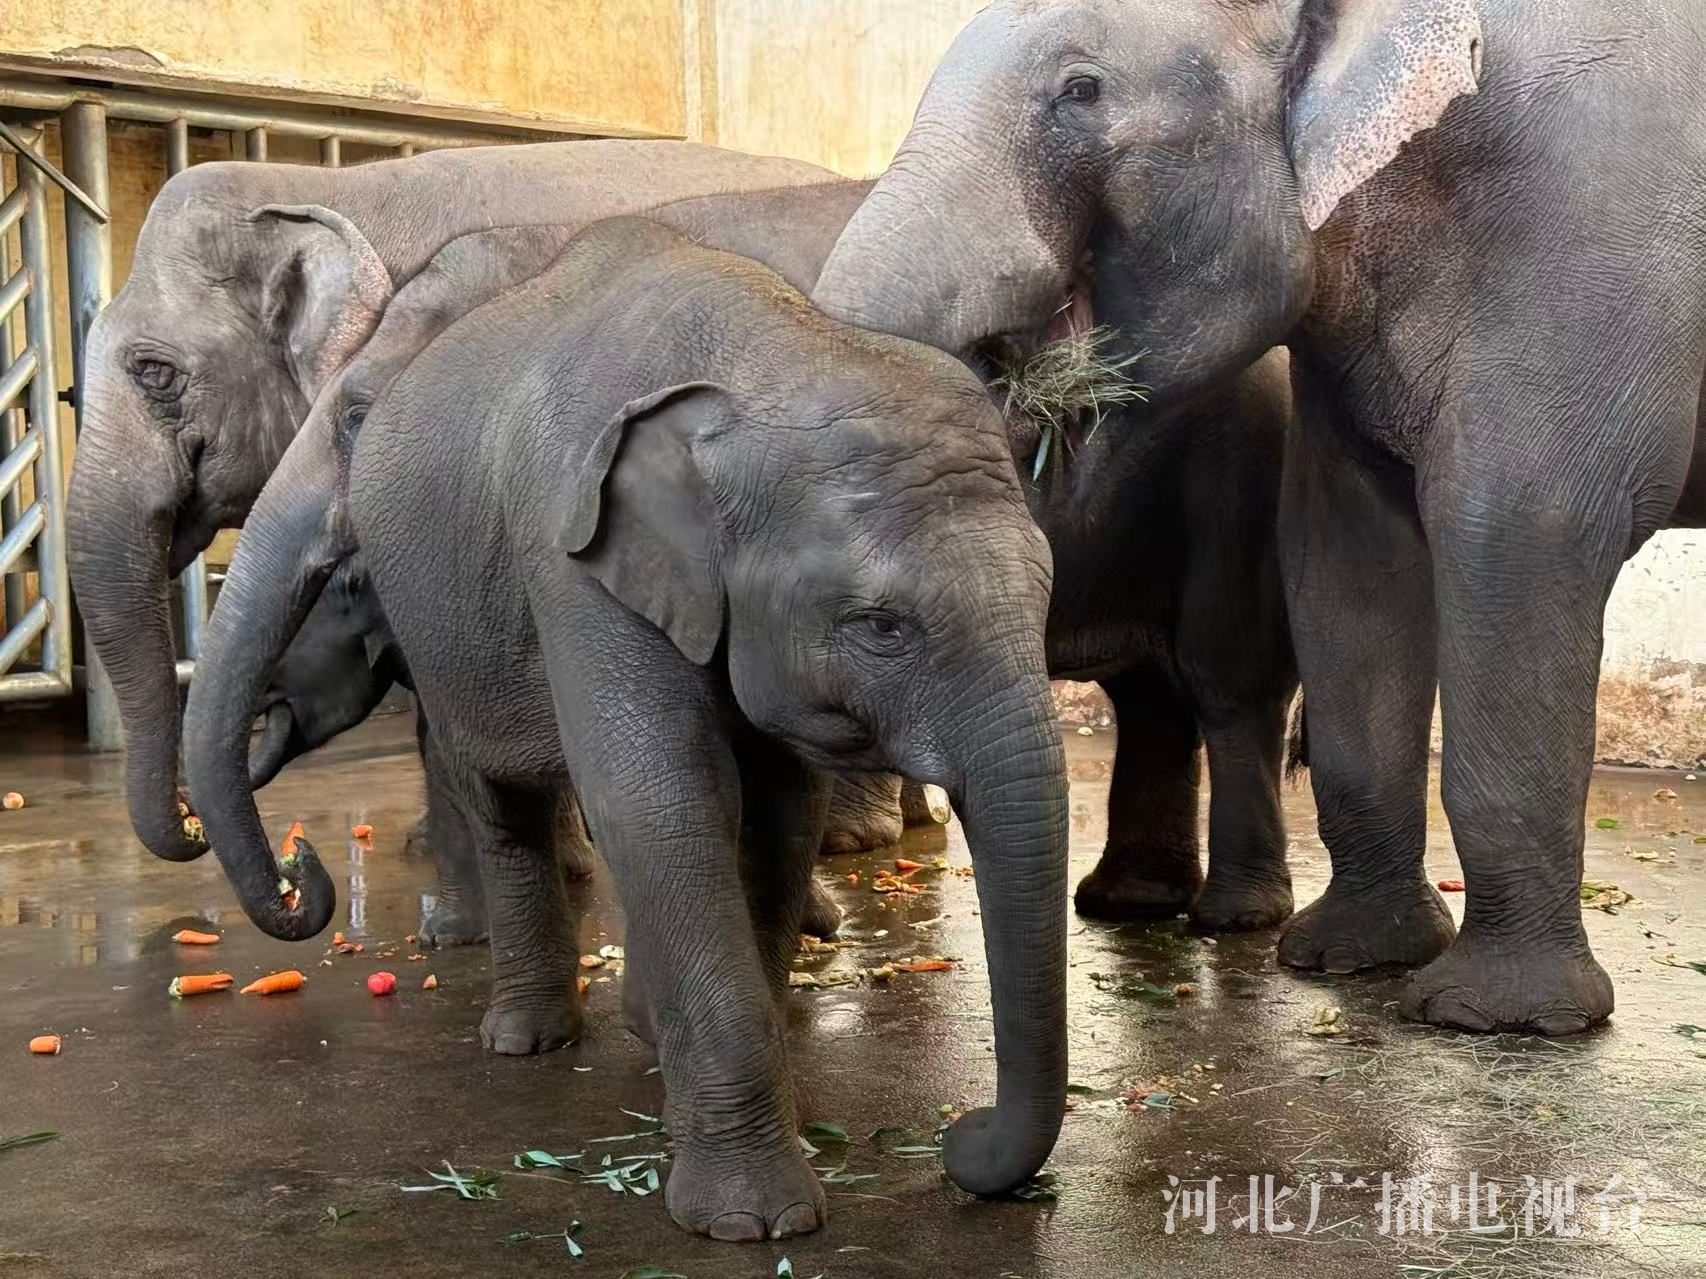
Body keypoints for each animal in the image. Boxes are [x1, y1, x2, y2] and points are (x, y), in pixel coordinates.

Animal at [186, 217, 1070, 1236]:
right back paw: (526, 1039)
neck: (772, 356)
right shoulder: (568, 558)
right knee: (502, 799)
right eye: (880, 625)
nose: (960, 1138)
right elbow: (658, 803)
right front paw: (752, 1222)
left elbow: (777, 811)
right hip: (451, 627)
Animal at [810, 0, 1706, 1033]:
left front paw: (1496, 1017)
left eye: (1081, 91)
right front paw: (1347, 960)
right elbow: (1347, 552)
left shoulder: (1589, 238)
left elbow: (1522, 531)